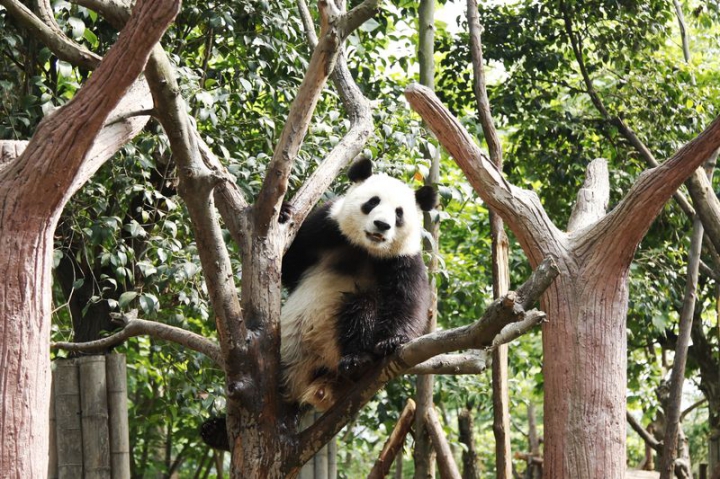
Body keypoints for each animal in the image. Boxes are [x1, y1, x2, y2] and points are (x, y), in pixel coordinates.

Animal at [279, 157, 437, 411]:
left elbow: (407, 300)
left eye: (399, 213)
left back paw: (357, 360)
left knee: (361, 306)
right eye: (372, 202)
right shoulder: (325, 227)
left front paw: (393, 340)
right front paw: (283, 212)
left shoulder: (403, 258)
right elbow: (289, 266)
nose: (382, 225)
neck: (365, 249)